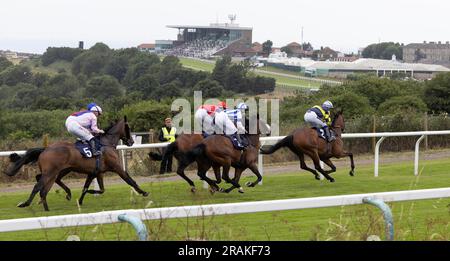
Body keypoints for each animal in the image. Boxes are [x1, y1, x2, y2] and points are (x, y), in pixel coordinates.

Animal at [4, 117, 149, 210]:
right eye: (128, 128)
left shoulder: (95, 172)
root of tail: (46, 149)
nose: (131, 142)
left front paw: (81, 200)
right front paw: (143, 192)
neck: (106, 143)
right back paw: (28, 204)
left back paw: (61, 196)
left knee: (44, 181)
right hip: (52, 172)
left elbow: (91, 188)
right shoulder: (117, 167)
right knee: (38, 186)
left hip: (60, 170)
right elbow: (130, 180)